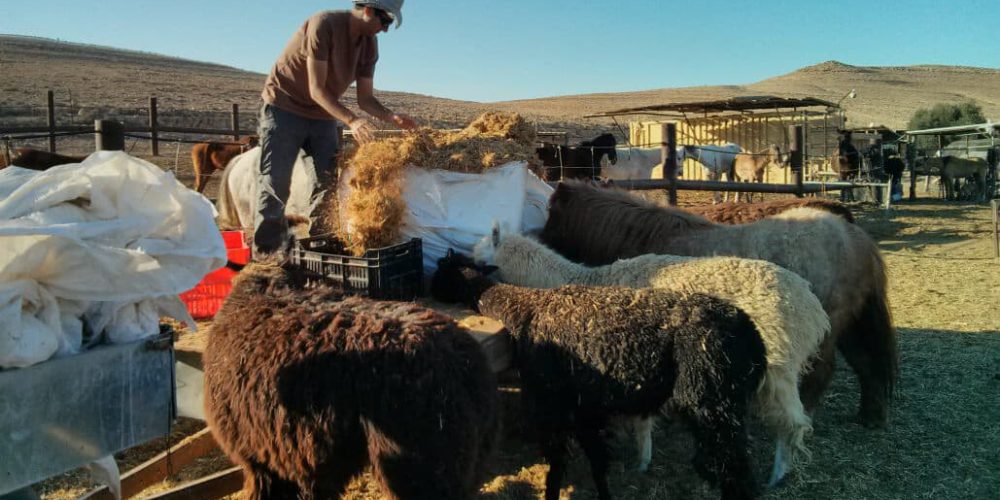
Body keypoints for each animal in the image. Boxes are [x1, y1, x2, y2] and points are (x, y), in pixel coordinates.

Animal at [540, 182, 900, 428]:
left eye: (551, 219)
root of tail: (854, 237)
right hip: (848, 326)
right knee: (866, 364)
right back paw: (871, 416)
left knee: (821, 374)